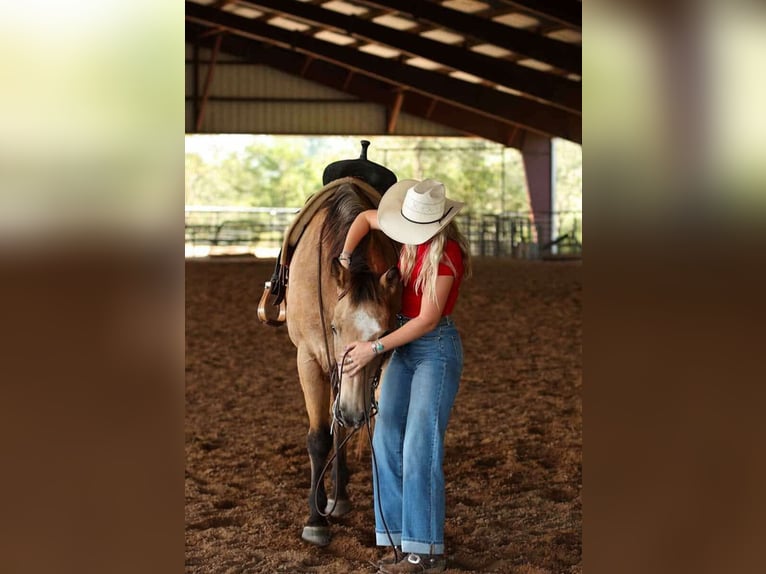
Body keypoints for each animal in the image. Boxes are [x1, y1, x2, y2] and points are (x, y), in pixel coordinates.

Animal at [285, 180, 401, 546]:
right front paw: (315, 520)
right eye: (335, 328)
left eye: (383, 333)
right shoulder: (308, 358)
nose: (352, 411)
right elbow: (319, 437)